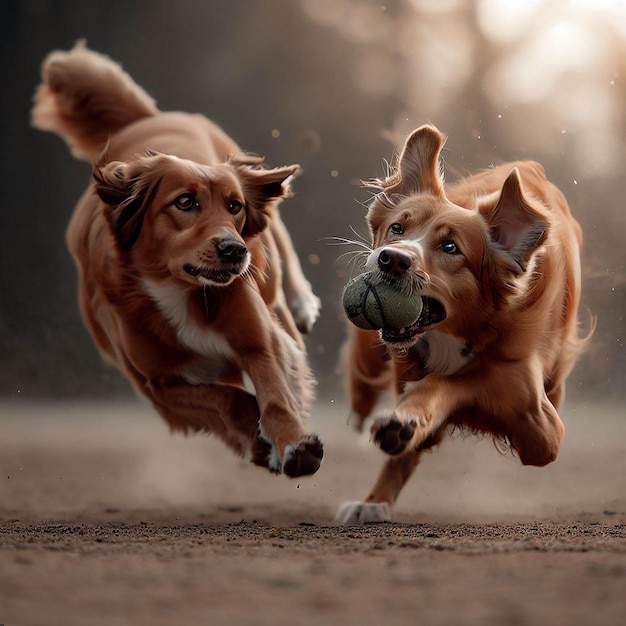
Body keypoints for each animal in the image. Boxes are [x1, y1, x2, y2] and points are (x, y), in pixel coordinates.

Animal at [31, 44, 322, 478]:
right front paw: (261, 444)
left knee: (282, 256)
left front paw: (292, 444)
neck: (181, 292)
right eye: (185, 202)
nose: (235, 250)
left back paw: (302, 305)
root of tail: (148, 119)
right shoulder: (159, 385)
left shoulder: (257, 339)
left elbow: (274, 393)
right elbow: (232, 401)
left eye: (234, 206)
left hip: (267, 236)